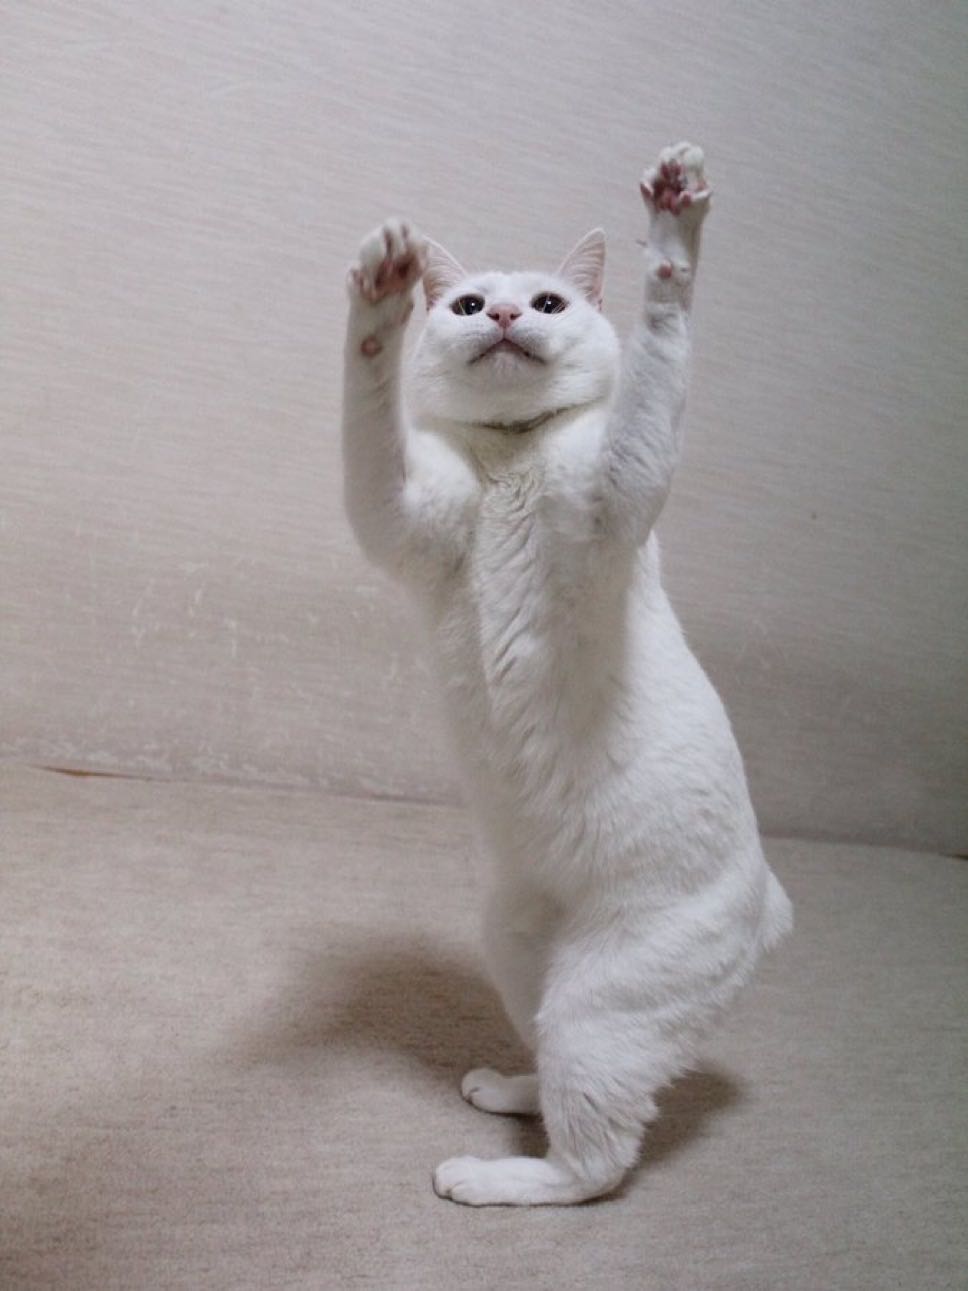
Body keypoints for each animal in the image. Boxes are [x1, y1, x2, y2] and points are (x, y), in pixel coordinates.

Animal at [341, 143, 792, 1207]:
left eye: (548, 301)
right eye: (468, 304)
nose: (507, 317)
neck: (512, 457)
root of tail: (768, 905)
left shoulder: (621, 485)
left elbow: (658, 357)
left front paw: (673, 229)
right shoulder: (398, 511)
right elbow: (368, 402)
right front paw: (379, 291)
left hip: (603, 1007)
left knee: (594, 1166)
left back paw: (485, 1175)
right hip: (513, 948)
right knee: (549, 1066)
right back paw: (505, 1088)